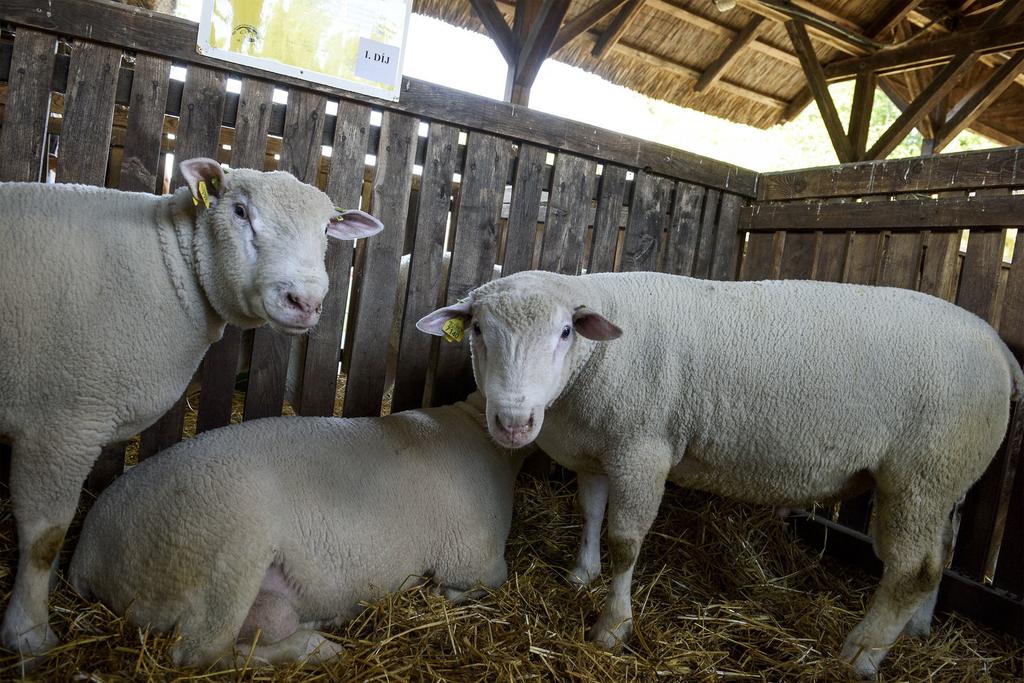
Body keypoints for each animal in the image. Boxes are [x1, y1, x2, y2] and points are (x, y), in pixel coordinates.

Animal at [70, 393, 528, 671]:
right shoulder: (474, 560)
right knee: (201, 654)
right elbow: (475, 585)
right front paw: (442, 594)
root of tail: (87, 552)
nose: (517, 420)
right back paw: (315, 648)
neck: (475, 426)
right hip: (223, 550)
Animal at [417, 270, 1024, 679]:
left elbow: (624, 541)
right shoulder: (600, 447)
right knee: (941, 551)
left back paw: (861, 652)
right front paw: (581, 574)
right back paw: (916, 629)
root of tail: (1000, 349)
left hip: (923, 469)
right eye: (477, 329)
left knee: (911, 569)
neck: (595, 363)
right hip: (948, 476)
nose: (513, 422)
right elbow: (589, 513)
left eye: (566, 331)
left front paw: (611, 627)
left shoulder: (642, 448)